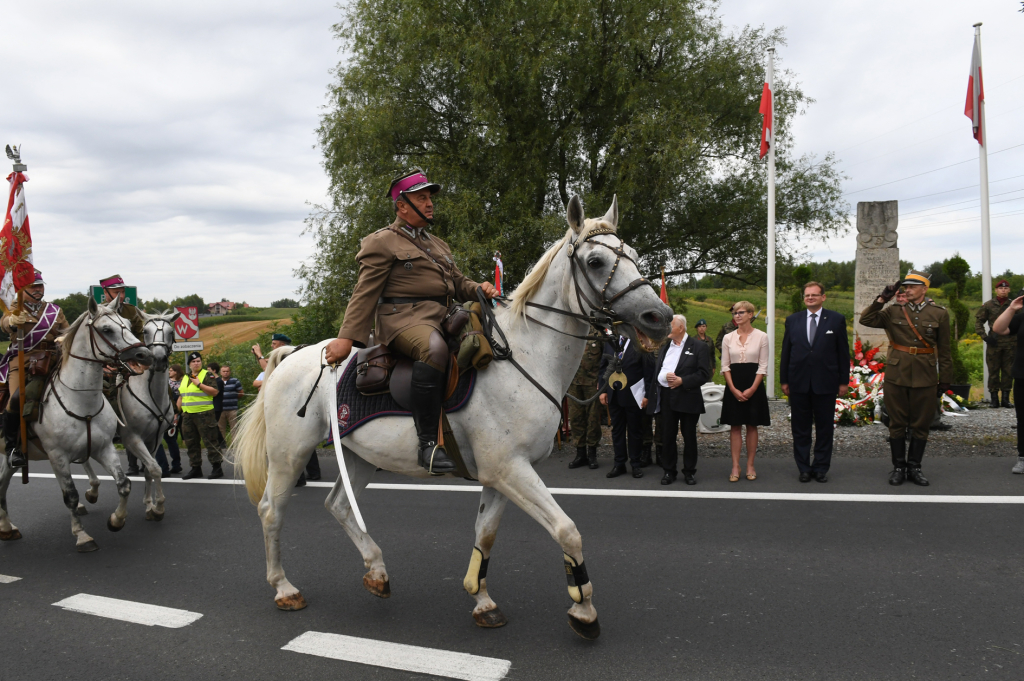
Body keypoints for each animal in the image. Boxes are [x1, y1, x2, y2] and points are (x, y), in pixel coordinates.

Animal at [0, 296, 153, 552]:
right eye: (107, 330)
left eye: (128, 326)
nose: (145, 355)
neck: (82, 400)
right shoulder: (58, 456)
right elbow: (70, 496)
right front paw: (82, 536)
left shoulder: (104, 448)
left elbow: (124, 484)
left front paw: (116, 520)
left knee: (2, 486)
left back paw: (7, 528)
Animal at [80, 307, 180, 520]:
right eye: (145, 332)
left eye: (170, 332)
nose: (159, 359)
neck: (151, 394)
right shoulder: (132, 439)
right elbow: (154, 468)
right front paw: (158, 507)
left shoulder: (155, 438)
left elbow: (150, 470)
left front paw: (149, 504)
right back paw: (89, 493)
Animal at [230, 195, 671, 639]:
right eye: (596, 261)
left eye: (635, 256)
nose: (660, 317)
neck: (526, 357)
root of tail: (294, 355)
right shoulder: (510, 470)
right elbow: (567, 531)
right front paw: (583, 611)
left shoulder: (501, 474)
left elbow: (485, 535)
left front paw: (482, 599)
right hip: (289, 454)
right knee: (271, 510)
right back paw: (284, 588)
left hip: (359, 456)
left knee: (338, 505)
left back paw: (377, 572)